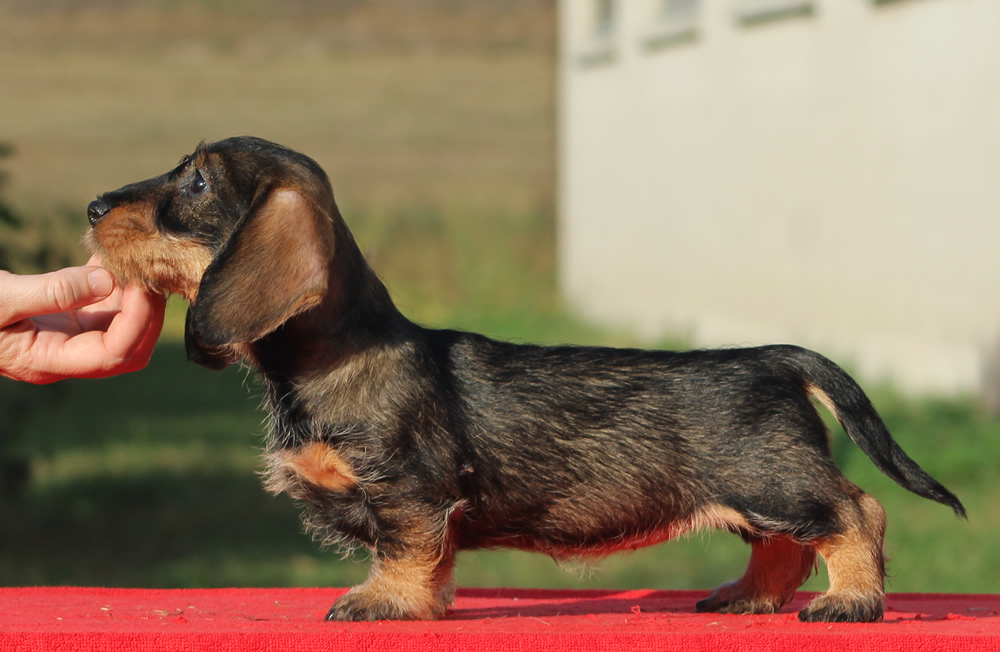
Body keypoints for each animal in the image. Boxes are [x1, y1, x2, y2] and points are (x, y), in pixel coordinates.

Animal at [84, 136, 960, 620]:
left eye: (197, 184)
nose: (92, 208)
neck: (336, 358)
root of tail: (777, 355)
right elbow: (433, 560)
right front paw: (425, 604)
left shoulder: (407, 489)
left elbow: (402, 551)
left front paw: (384, 604)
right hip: (756, 496)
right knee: (784, 547)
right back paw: (748, 597)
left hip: (775, 480)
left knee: (857, 512)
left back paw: (852, 600)